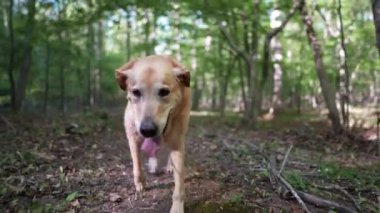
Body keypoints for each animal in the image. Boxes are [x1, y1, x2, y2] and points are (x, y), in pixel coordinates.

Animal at [113, 55, 189, 213]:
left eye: (164, 92)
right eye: (136, 92)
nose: (147, 130)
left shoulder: (177, 143)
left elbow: (179, 184)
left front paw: (177, 207)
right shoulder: (133, 137)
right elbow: (137, 164)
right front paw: (140, 183)